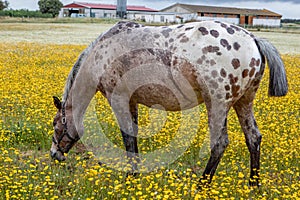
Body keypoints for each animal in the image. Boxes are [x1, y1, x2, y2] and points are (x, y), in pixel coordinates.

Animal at [50, 19, 288, 186]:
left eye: (55, 125)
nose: (54, 155)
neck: (102, 53)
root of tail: (253, 39)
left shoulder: (118, 99)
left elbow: (128, 138)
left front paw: (130, 178)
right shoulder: (132, 102)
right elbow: (133, 137)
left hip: (217, 105)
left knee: (219, 144)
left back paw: (202, 186)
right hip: (244, 102)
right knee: (253, 138)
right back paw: (253, 185)